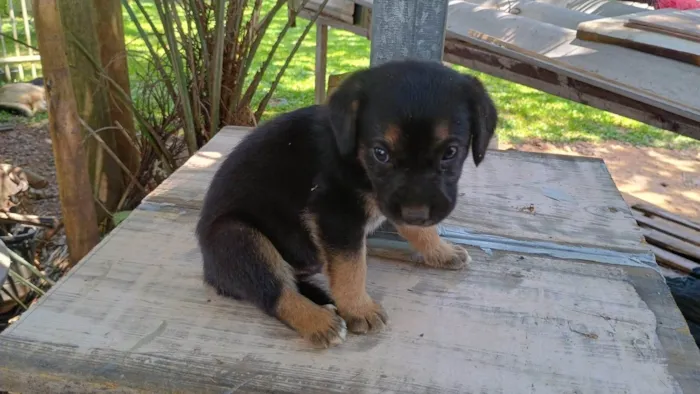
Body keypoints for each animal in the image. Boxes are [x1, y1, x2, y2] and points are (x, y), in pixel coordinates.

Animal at [197, 58, 498, 348]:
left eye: (451, 152)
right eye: (381, 153)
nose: (416, 213)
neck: (357, 158)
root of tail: (210, 271)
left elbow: (417, 231)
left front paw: (440, 251)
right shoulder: (336, 214)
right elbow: (351, 267)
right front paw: (359, 309)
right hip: (236, 235)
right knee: (273, 292)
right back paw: (318, 320)